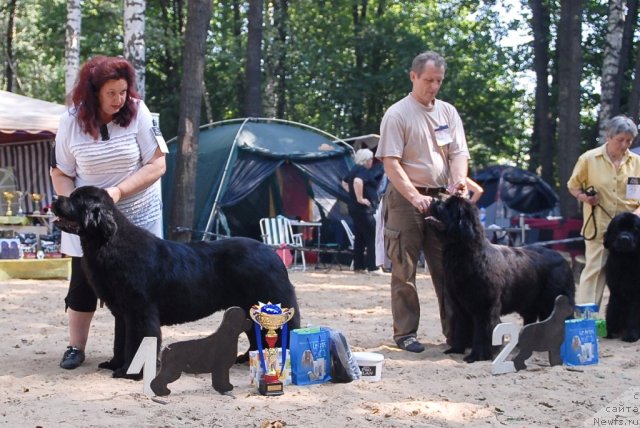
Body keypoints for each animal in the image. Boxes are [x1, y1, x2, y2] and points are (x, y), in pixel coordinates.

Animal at [51, 186, 298, 378]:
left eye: (76, 199)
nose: (54, 198)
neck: (108, 242)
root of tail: (273, 255)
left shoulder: (140, 312)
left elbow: (137, 342)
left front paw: (129, 372)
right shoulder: (122, 314)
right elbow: (120, 341)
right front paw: (114, 364)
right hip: (249, 308)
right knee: (255, 335)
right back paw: (247, 358)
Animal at [424, 196, 576, 362]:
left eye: (448, 207)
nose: (433, 199)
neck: (466, 254)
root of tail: (563, 259)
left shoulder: (484, 307)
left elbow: (482, 332)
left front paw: (477, 355)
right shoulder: (460, 305)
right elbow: (461, 327)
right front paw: (456, 349)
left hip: (553, 299)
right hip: (528, 301)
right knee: (531, 319)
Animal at [604, 211, 640, 342]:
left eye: (634, 229)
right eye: (617, 228)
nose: (624, 238)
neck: (625, 260)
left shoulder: (636, 296)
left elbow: (634, 316)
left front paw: (631, 335)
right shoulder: (616, 291)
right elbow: (612, 310)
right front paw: (611, 332)